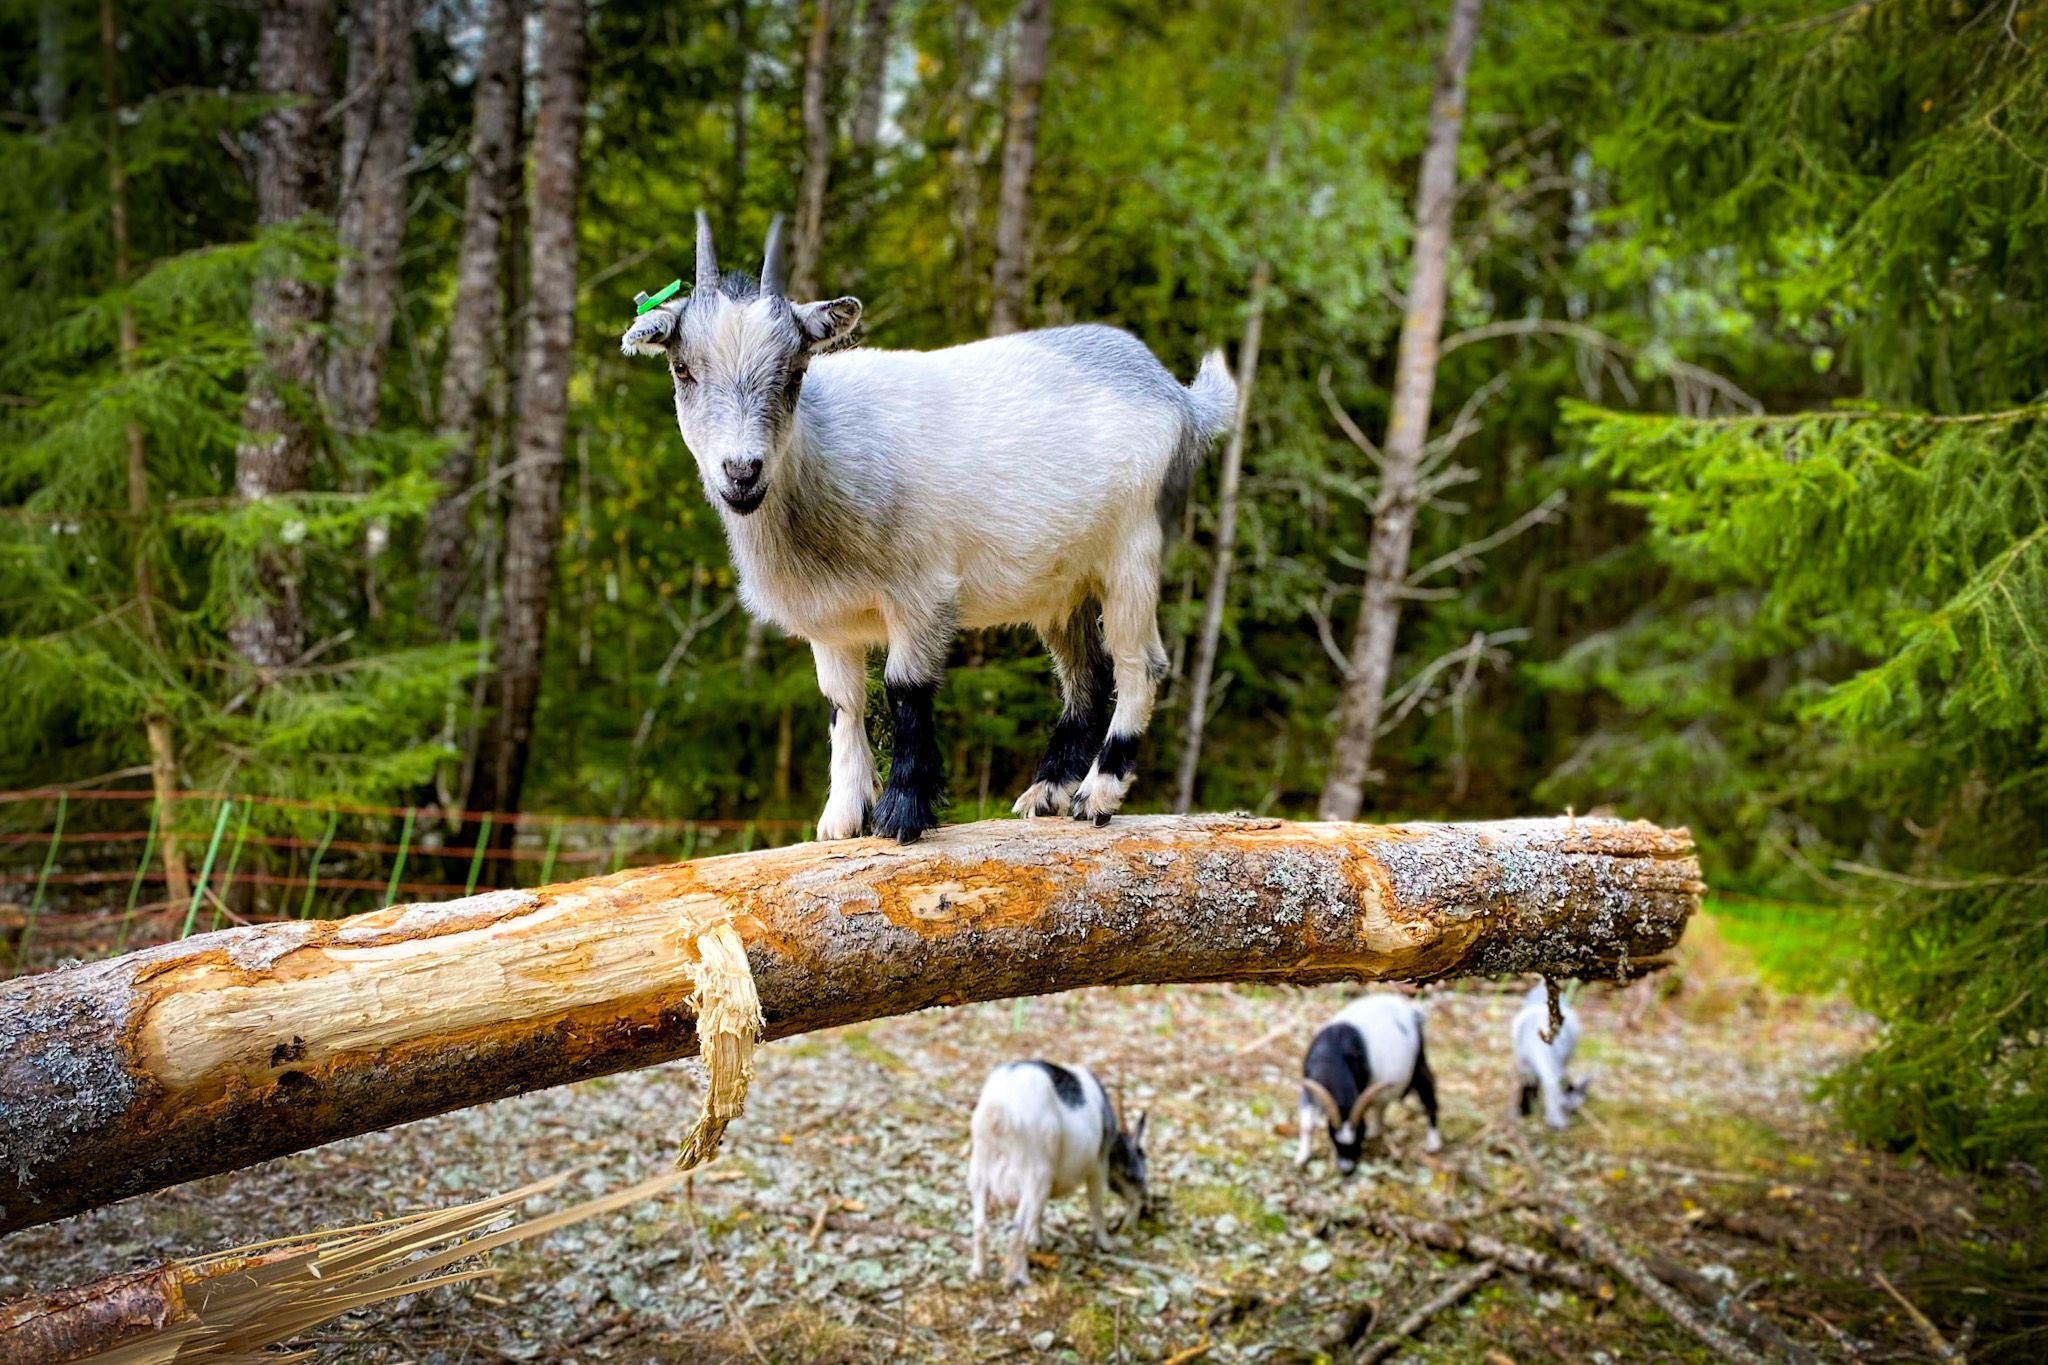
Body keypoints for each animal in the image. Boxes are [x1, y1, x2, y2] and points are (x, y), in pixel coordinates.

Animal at [622, 214, 1235, 843]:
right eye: (683, 369)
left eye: (794, 372)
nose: (742, 472)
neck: (822, 457)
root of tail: (1182, 400)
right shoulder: (832, 622)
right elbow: (842, 703)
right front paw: (841, 819)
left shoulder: (921, 592)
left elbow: (905, 690)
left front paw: (901, 813)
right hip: (1063, 586)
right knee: (1087, 675)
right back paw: (1047, 791)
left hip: (1132, 552)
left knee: (1141, 665)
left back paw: (1098, 794)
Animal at [967, 1060, 1148, 1288]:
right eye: (1139, 1163)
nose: (1144, 1204)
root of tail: (999, 1110)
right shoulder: (1098, 1166)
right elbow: (1096, 1207)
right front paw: (1107, 1244)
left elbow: (1037, 1217)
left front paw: (1039, 1242)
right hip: (1036, 1177)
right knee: (1016, 1231)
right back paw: (1017, 1279)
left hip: (979, 1172)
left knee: (980, 1226)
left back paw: (978, 1272)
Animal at [1295, 993, 1443, 1174]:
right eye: (1333, 1136)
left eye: (1360, 1135)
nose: (1347, 1169)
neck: (1332, 1055)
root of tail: (1413, 1012)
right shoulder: (1309, 1086)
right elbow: (1307, 1124)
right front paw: (1301, 1157)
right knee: (1381, 1105)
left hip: (1418, 1062)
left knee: (1427, 1093)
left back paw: (1433, 1143)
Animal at [1511, 982, 1590, 1128]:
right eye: (1563, 1107)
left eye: (1574, 1109)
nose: (1568, 1124)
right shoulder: (1523, 1065)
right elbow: (1527, 1086)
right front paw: (1524, 1110)